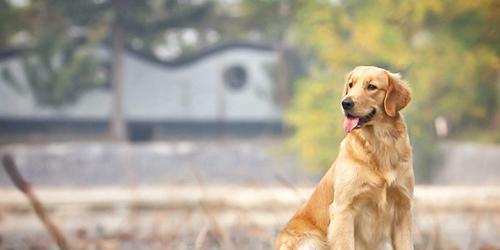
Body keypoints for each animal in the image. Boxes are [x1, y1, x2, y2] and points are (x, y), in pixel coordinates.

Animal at [274, 65, 414, 249]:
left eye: (371, 86)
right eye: (351, 84)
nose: (345, 103)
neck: (379, 145)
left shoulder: (403, 209)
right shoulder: (343, 209)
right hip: (311, 239)